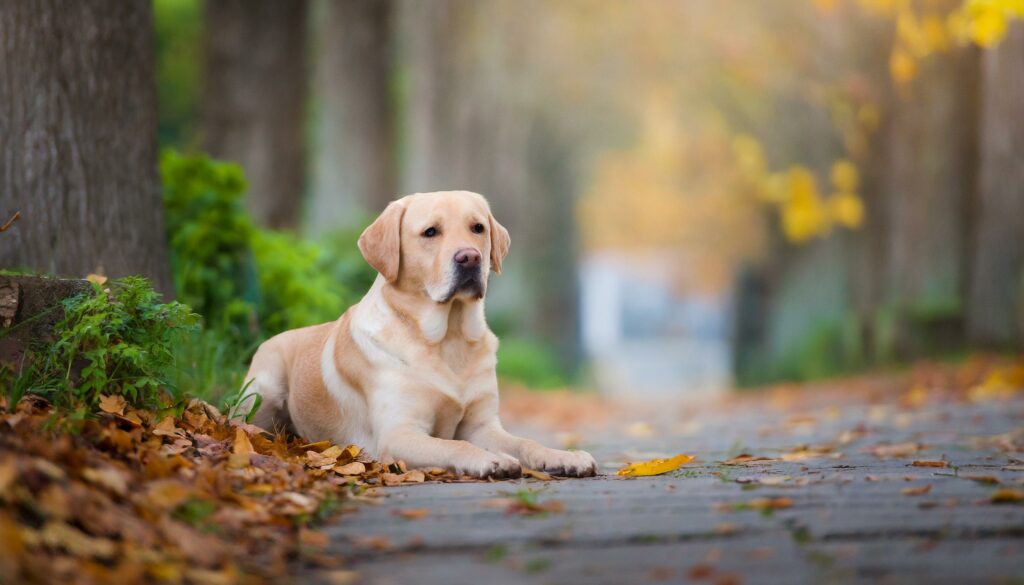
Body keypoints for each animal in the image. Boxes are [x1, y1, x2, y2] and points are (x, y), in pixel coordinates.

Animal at [243, 189, 598, 477]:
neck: (449, 336)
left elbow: (525, 442)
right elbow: (455, 445)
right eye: (430, 232)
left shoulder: (481, 425)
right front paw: (491, 460)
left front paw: (563, 457)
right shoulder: (399, 433)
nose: (470, 257)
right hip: (265, 390)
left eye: (478, 228)